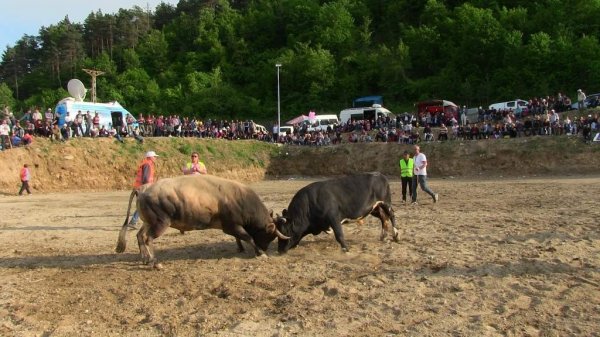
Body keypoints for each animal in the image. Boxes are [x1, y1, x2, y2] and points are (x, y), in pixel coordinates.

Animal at [116, 173, 288, 268]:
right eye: (270, 235)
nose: (264, 248)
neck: (239, 198)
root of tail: (143, 188)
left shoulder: (232, 226)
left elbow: (239, 237)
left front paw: (241, 248)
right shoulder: (231, 225)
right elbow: (247, 236)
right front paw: (259, 253)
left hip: (148, 222)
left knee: (140, 236)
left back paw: (145, 259)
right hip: (160, 223)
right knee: (148, 238)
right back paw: (155, 262)